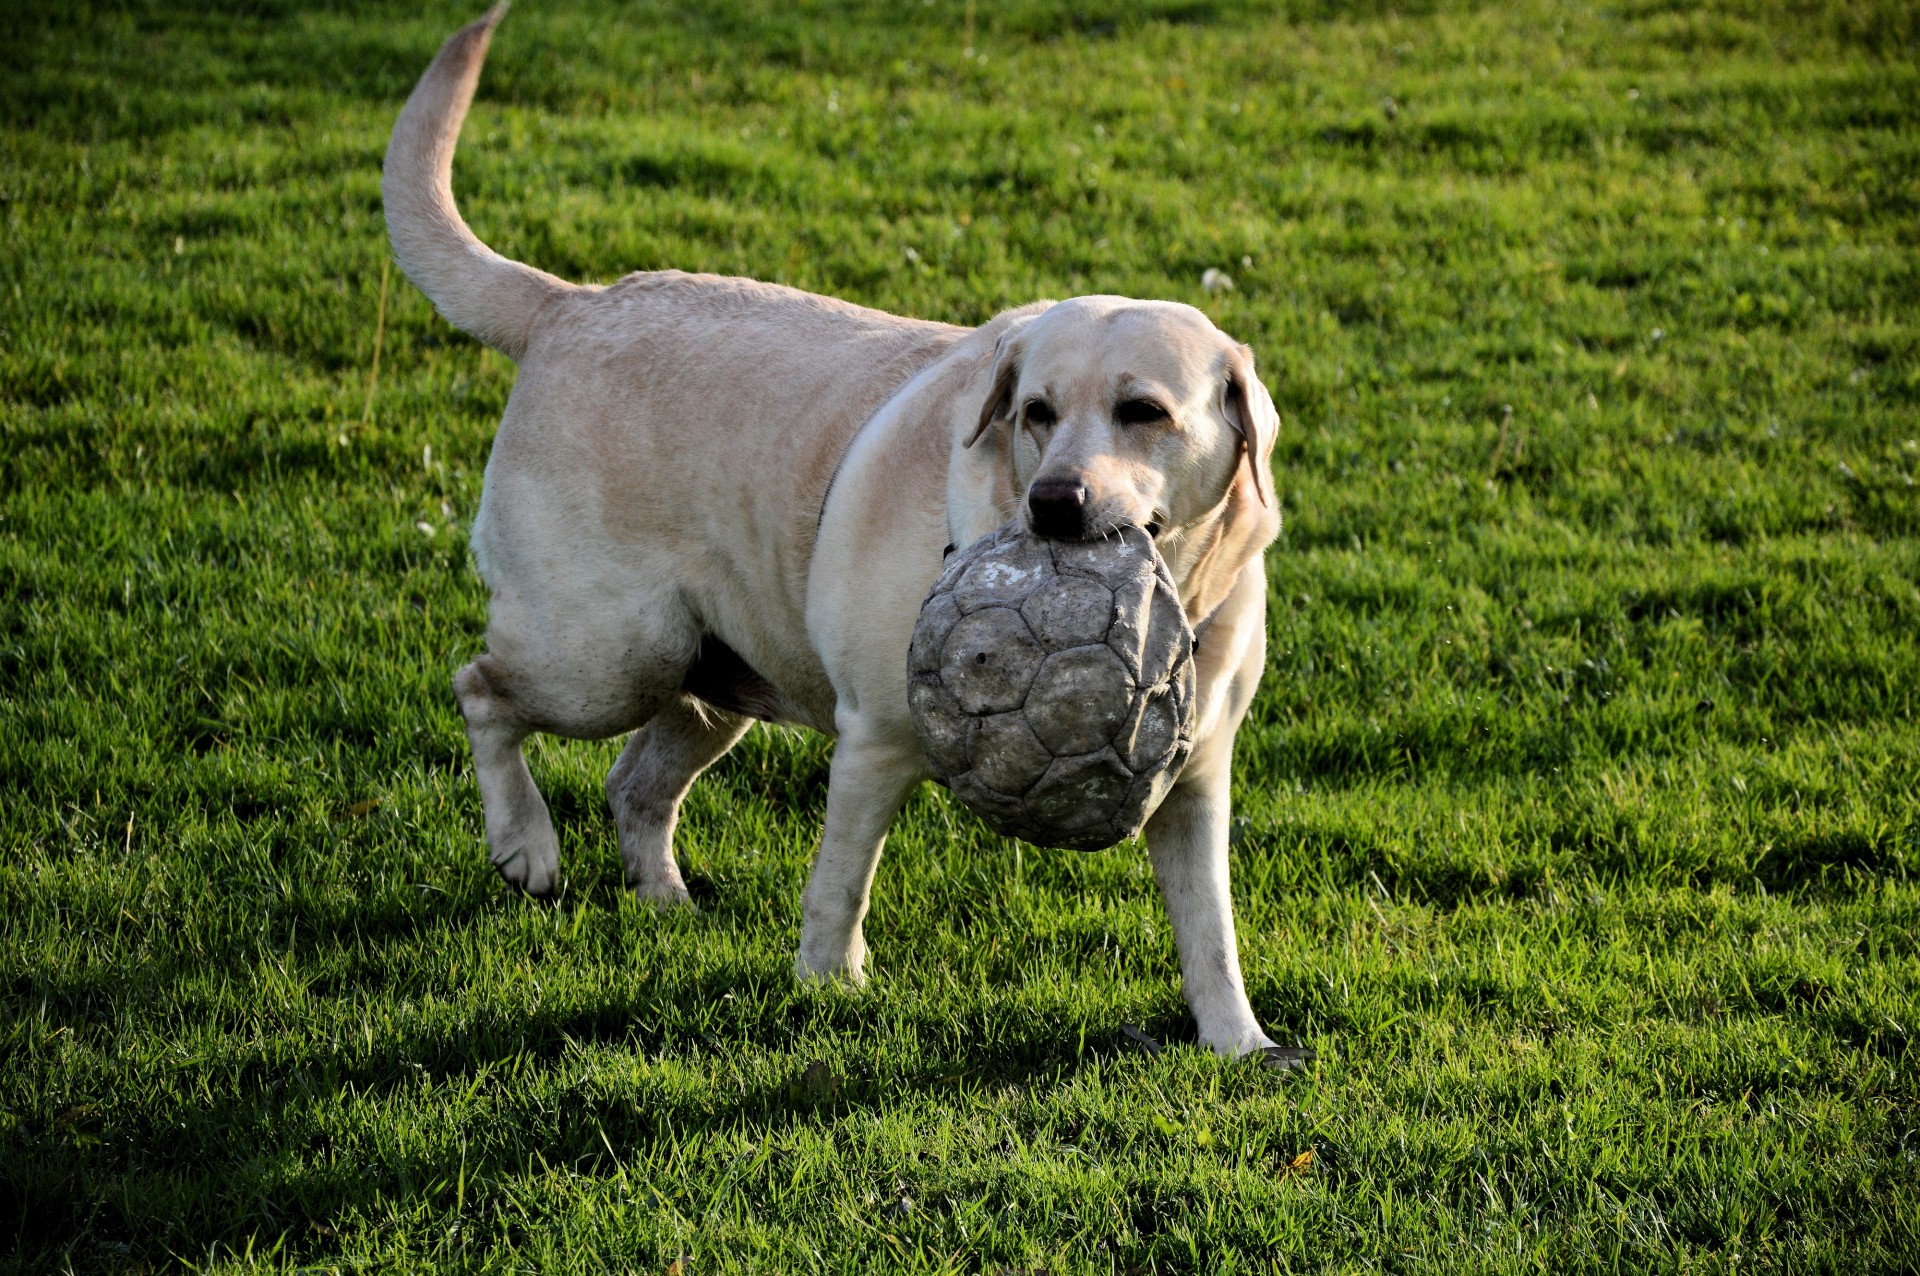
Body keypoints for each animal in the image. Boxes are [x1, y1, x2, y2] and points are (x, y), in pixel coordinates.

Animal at [380, 7, 1297, 1066]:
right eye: (1034, 411)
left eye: (1144, 412)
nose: (1055, 504)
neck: (1174, 585)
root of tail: (571, 302)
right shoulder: (876, 741)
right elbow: (841, 883)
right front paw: (829, 987)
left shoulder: (1195, 782)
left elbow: (1211, 929)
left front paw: (1239, 1043)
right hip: (608, 655)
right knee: (482, 689)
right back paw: (526, 845)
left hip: (712, 674)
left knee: (634, 783)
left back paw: (664, 901)